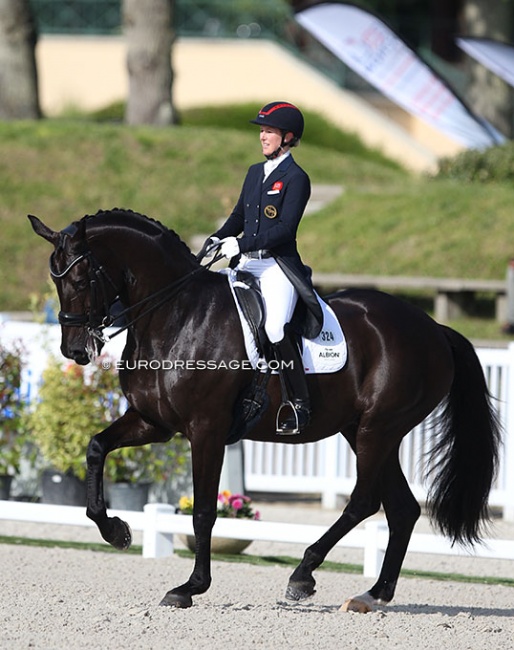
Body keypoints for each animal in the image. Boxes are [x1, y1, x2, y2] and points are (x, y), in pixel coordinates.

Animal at [27, 210, 496, 612]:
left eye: (82, 277)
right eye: (55, 279)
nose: (75, 350)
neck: (176, 316)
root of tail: (433, 328)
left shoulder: (207, 429)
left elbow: (203, 510)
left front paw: (190, 587)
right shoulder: (153, 423)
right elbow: (95, 448)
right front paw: (117, 531)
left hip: (378, 430)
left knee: (364, 502)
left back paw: (303, 575)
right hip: (364, 430)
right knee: (402, 509)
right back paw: (372, 595)